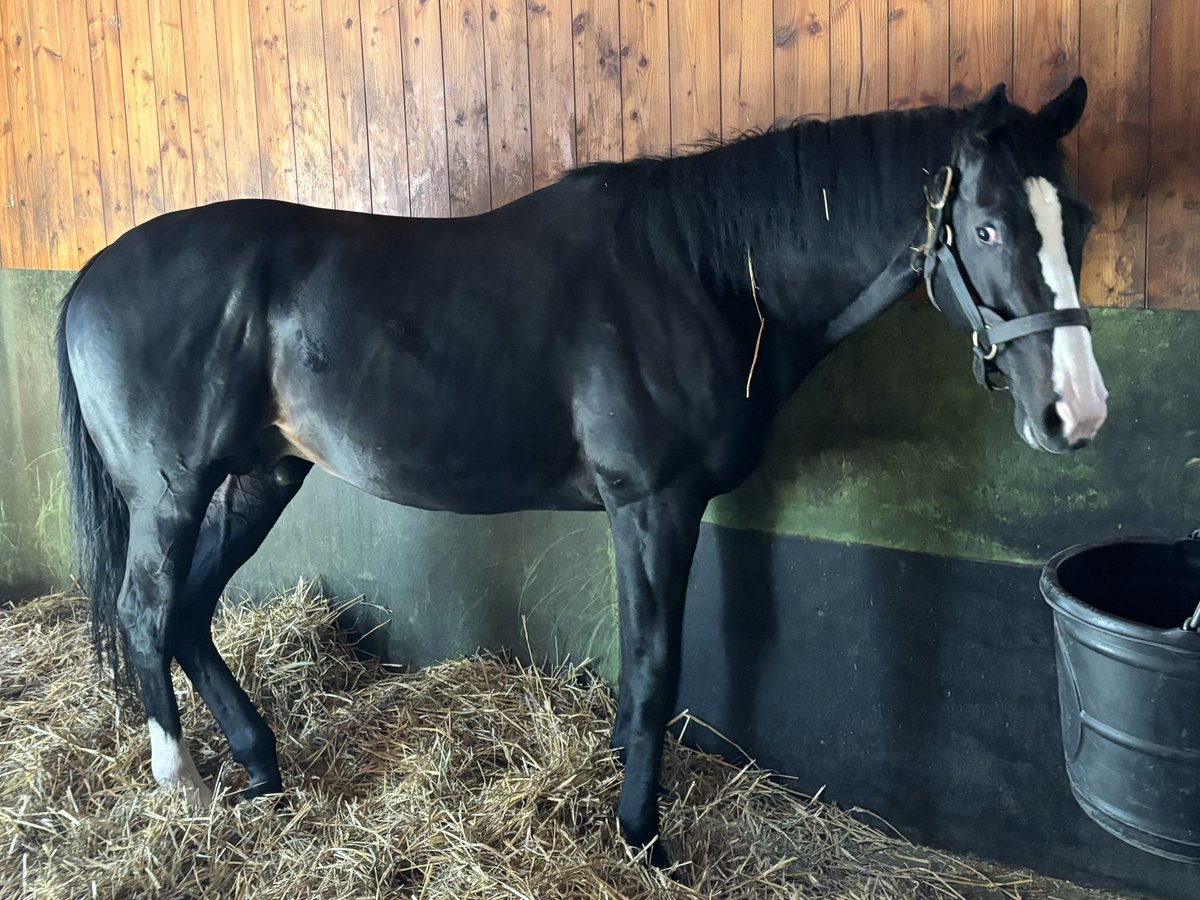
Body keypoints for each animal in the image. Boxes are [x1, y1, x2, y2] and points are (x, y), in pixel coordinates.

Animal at [55, 78, 1106, 864]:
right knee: (147, 611)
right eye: (986, 229)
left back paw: (261, 769)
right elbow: (653, 662)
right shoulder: (653, 503)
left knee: (190, 610)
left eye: (1081, 221)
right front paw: (643, 835)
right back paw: (185, 786)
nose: (1077, 412)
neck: (701, 273)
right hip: (173, 491)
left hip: (262, 478)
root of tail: (90, 274)